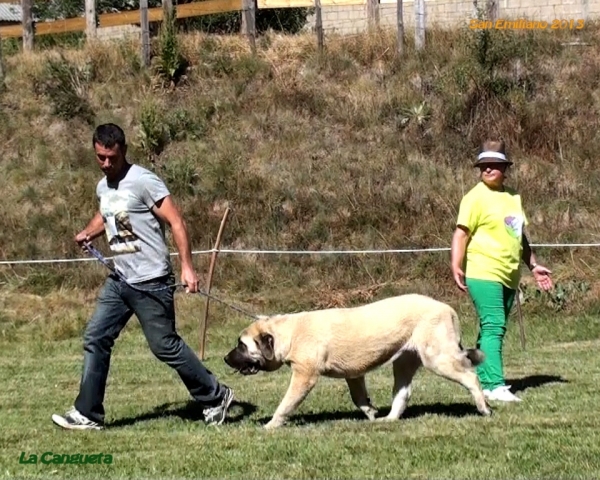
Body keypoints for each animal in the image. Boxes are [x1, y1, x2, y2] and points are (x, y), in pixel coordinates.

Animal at [223, 294, 490, 430]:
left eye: (241, 345)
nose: (225, 358)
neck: (289, 333)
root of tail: (449, 310)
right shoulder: (353, 375)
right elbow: (359, 397)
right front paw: (371, 412)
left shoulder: (304, 377)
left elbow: (286, 403)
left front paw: (271, 425)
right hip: (404, 363)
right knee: (402, 394)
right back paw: (388, 419)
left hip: (438, 358)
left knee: (471, 377)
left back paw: (484, 408)